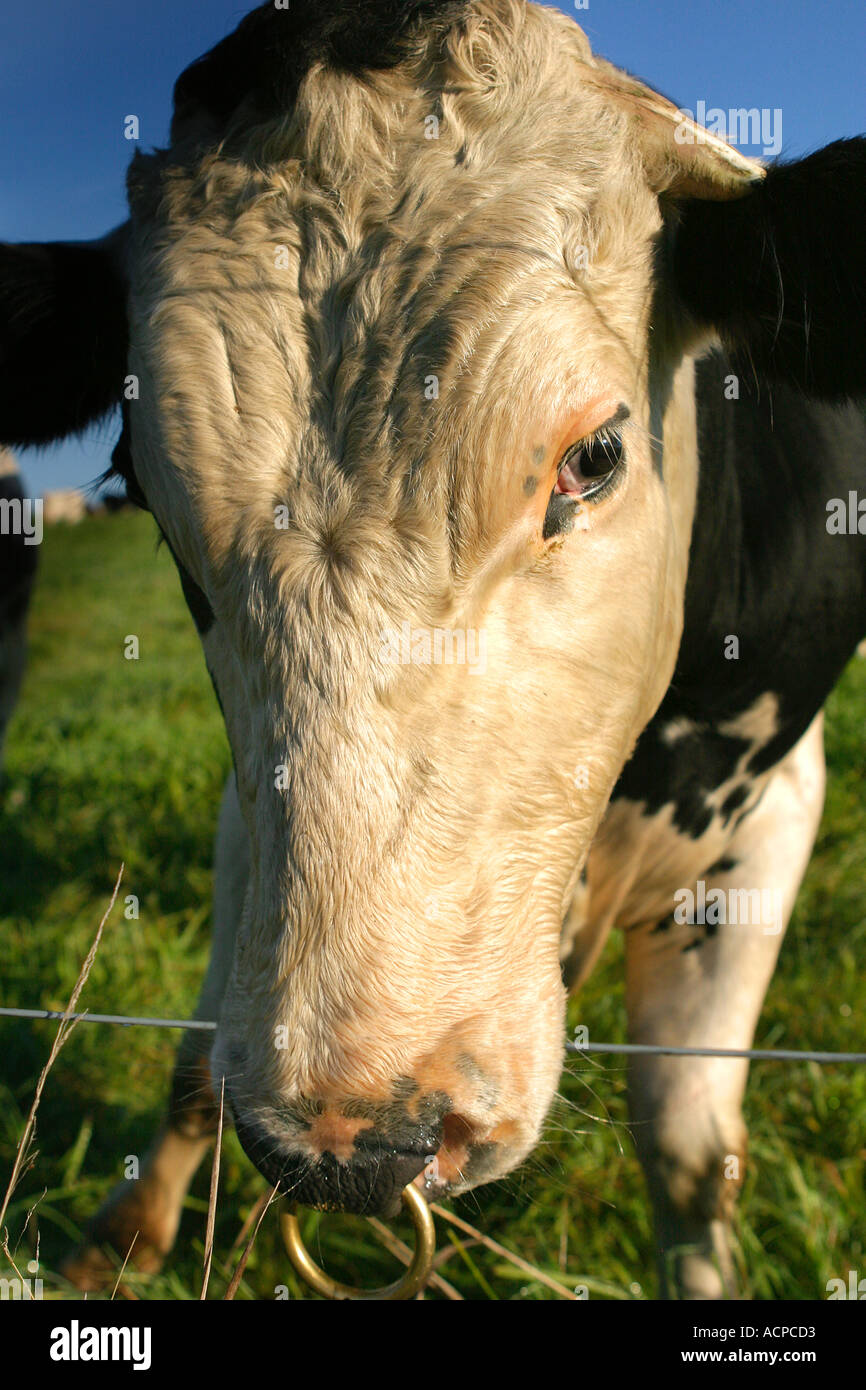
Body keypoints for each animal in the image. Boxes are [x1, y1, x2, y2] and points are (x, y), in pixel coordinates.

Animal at [1, 0, 864, 1299]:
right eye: (139, 492)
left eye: (595, 456)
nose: (354, 1139)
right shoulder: (253, 798)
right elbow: (200, 1057)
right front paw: (124, 1234)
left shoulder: (769, 801)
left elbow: (683, 1149)